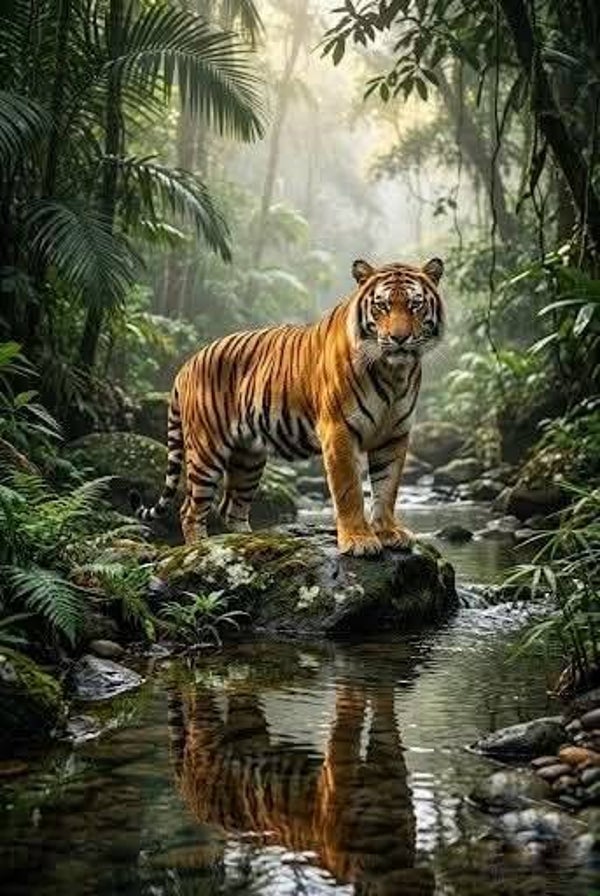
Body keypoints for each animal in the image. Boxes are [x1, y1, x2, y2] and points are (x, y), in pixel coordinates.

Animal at [133, 256, 445, 555]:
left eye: (415, 305)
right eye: (382, 306)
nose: (399, 338)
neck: (393, 372)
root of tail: (188, 363)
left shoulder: (393, 434)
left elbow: (387, 488)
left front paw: (388, 532)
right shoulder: (339, 430)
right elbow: (350, 490)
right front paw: (359, 540)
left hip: (248, 458)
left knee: (231, 507)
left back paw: (249, 543)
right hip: (206, 449)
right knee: (190, 510)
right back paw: (199, 549)